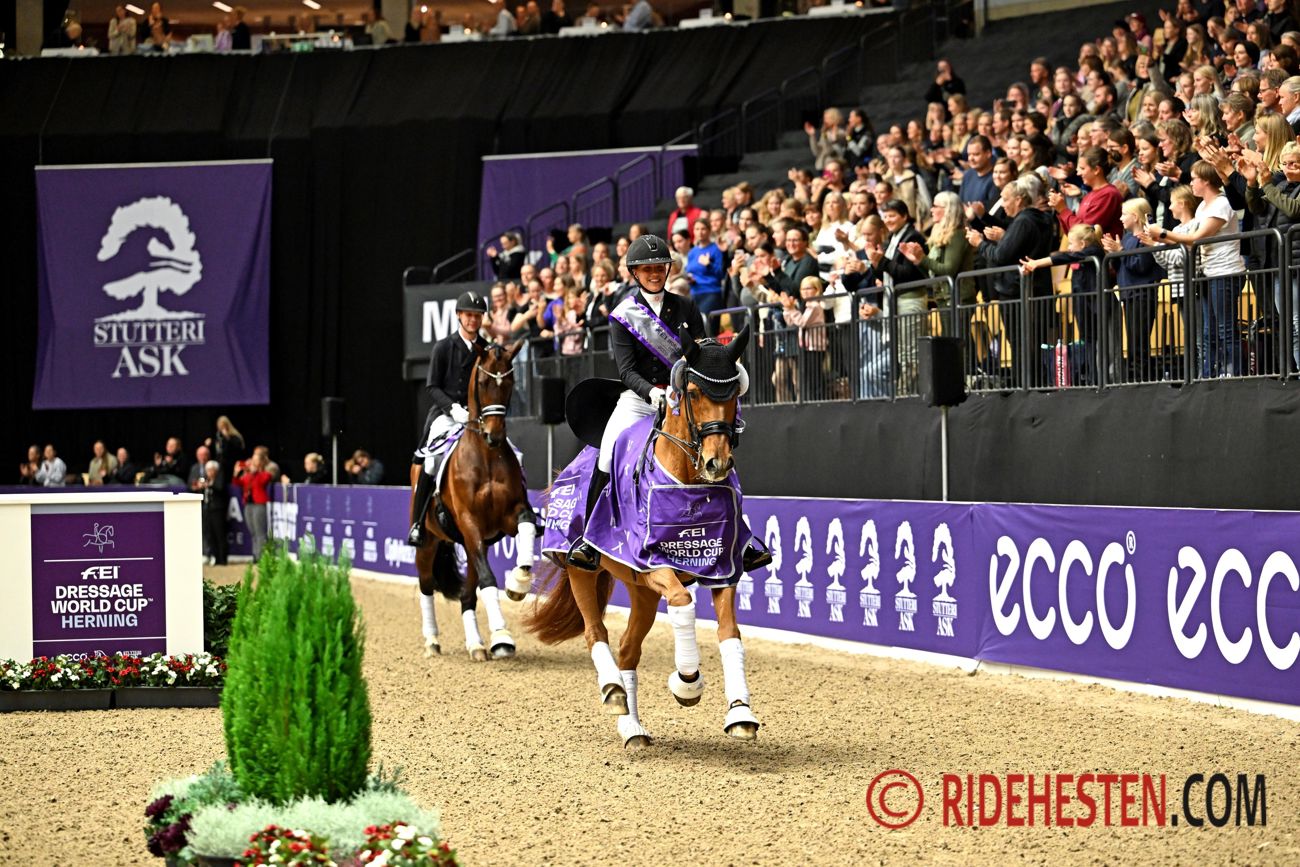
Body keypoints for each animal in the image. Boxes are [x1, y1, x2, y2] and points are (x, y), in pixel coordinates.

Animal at [409, 340, 537, 662]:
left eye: (510, 382)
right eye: (482, 382)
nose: (494, 435)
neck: (486, 456)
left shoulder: (509, 517)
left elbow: (527, 526)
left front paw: (519, 583)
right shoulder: (470, 523)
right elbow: (488, 580)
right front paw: (502, 636)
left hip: (469, 542)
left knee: (467, 594)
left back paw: (476, 645)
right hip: (430, 540)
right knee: (426, 585)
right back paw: (432, 642)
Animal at [524, 327, 761, 748]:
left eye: (734, 393)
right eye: (693, 393)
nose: (717, 463)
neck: (687, 483)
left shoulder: (722, 566)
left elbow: (730, 633)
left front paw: (740, 712)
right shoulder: (654, 565)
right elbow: (683, 603)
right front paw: (687, 682)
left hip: (642, 591)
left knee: (628, 649)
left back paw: (632, 726)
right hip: (585, 573)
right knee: (596, 633)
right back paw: (613, 692)